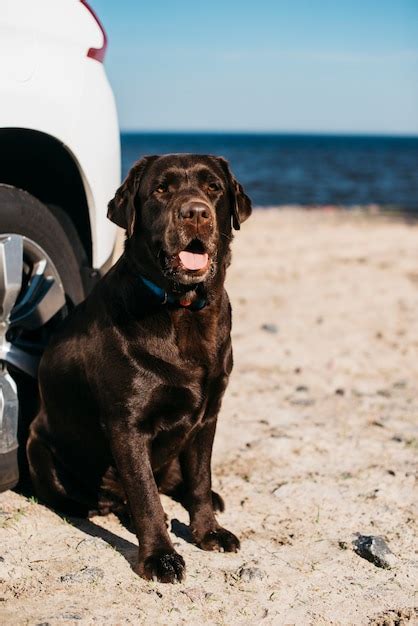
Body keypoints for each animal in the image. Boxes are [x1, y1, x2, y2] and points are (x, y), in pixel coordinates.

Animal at [27, 154, 251, 584]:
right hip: (39, 451)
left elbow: (200, 480)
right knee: (120, 497)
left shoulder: (209, 416)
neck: (182, 311)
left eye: (213, 188)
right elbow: (145, 496)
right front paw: (160, 557)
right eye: (161, 190)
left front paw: (208, 532)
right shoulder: (127, 426)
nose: (195, 212)